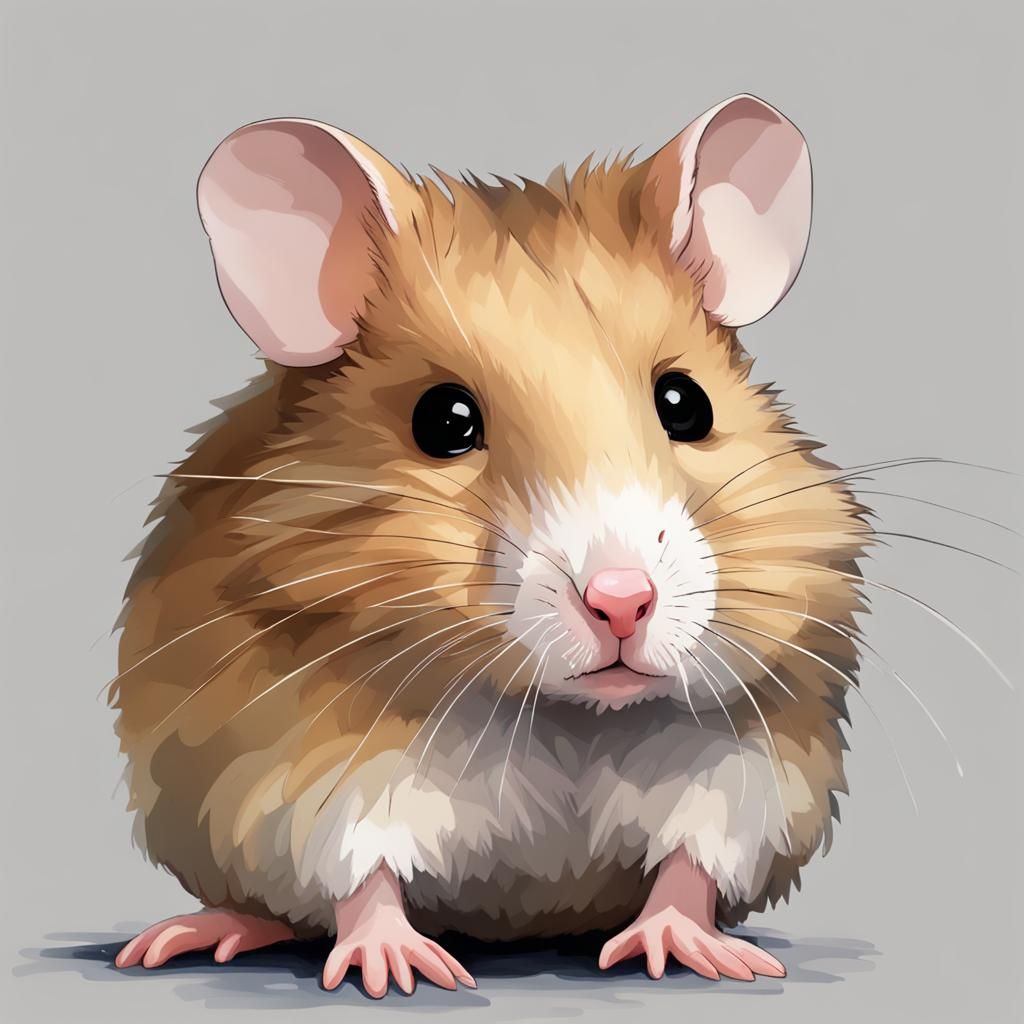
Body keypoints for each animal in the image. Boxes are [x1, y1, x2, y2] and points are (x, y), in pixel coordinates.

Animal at [110, 94, 868, 995]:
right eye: (444, 420)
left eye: (686, 403)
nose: (623, 603)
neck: (560, 714)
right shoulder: (309, 777)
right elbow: (360, 875)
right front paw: (395, 969)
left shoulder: (748, 764)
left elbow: (692, 861)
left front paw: (694, 951)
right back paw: (188, 934)